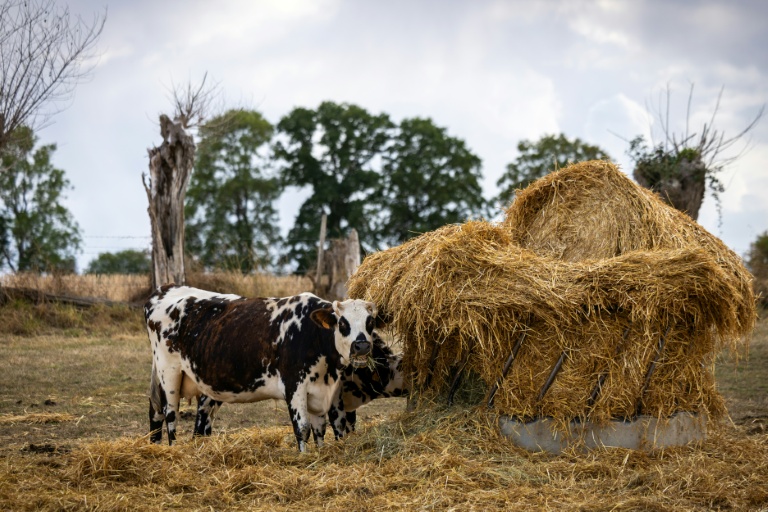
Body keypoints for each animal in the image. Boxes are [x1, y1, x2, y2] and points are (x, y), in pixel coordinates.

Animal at [144, 284, 382, 452]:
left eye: (370, 322)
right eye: (343, 323)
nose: (362, 346)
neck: (311, 333)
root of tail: (165, 289)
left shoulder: (328, 389)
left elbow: (328, 426)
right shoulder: (294, 385)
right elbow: (303, 427)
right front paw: (304, 457)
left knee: (175, 415)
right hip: (169, 373)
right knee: (170, 415)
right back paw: (174, 450)